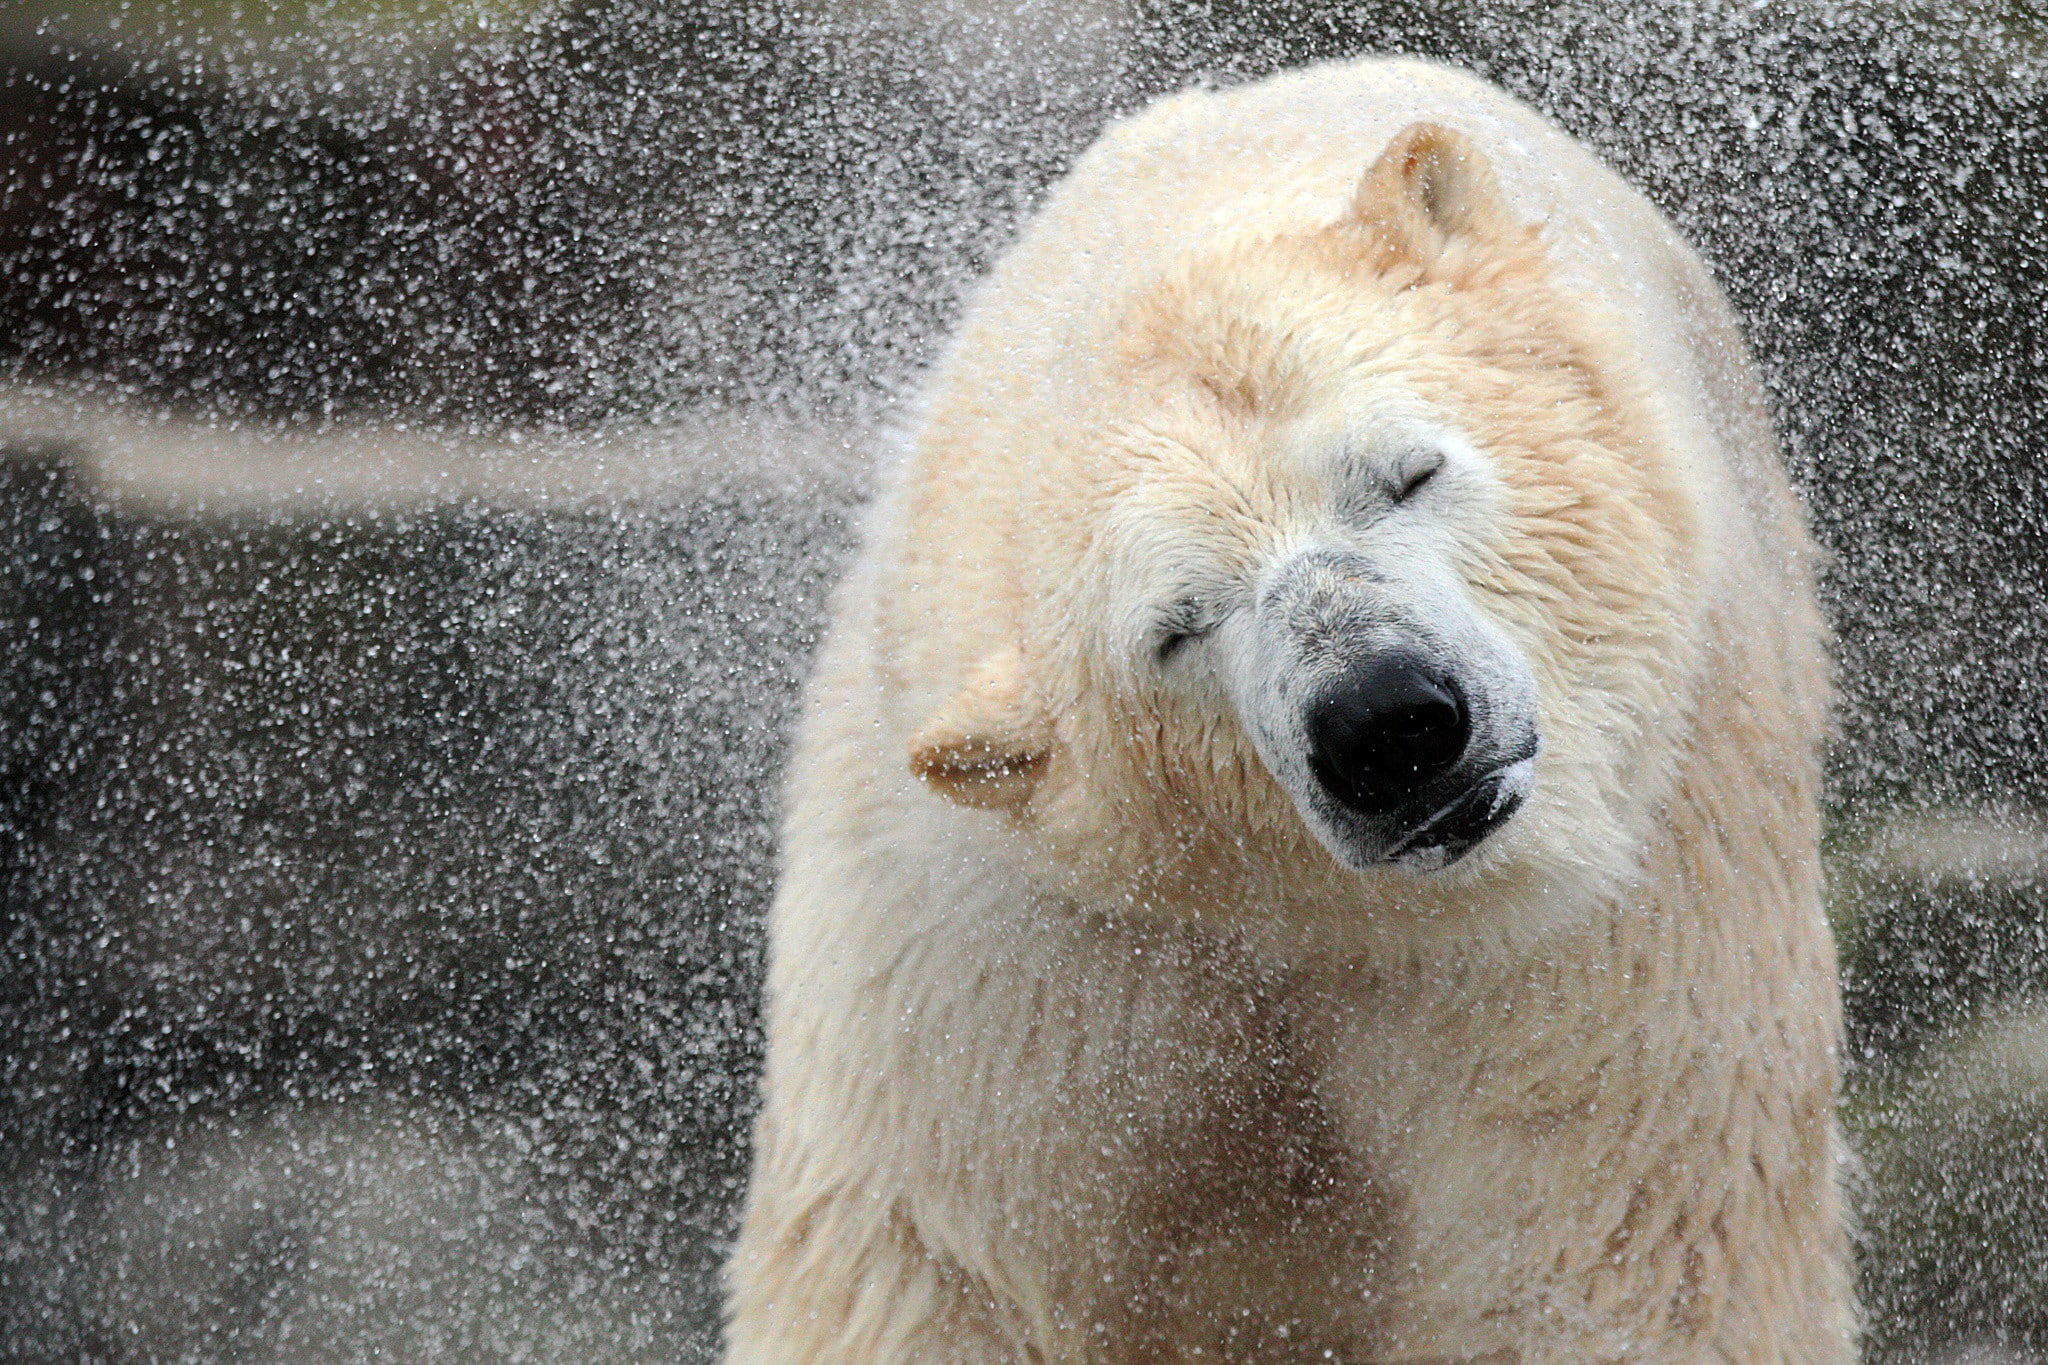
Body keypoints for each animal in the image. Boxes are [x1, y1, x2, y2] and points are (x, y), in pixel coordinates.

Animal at [726, 56, 1855, 1363]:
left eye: (1405, 473)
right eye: (1175, 627)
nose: (1386, 724)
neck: (1316, 926)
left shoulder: (1611, 937)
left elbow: (1616, 1241)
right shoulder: (995, 960)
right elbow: (929, 1262)